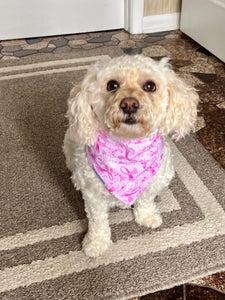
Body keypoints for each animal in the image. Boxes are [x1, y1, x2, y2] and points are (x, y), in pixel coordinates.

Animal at [63, 55, 199, 256]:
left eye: (150, 86)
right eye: (112, 85)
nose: (129, 104)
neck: (128, 146)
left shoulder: (155, 180)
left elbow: (146, 199)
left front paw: (147, 216)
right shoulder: (92, 195)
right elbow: (97, 221)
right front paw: (96, 243)